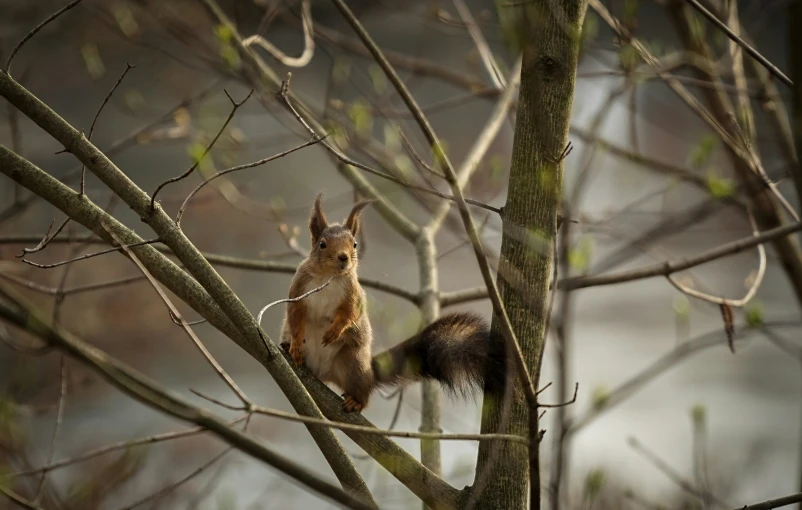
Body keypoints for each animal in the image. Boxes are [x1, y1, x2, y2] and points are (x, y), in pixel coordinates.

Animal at [280, 193, 506, 412]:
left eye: (355, 244)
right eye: (322, 244)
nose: (344, 257)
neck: (329, 278)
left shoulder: (353, 294)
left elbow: (350, 314)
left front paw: (335, 331)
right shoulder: (298, 288)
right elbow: (294, 314)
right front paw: (296, 345)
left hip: (352, 364)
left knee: (364, 391)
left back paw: (357, 402)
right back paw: (288, 346)